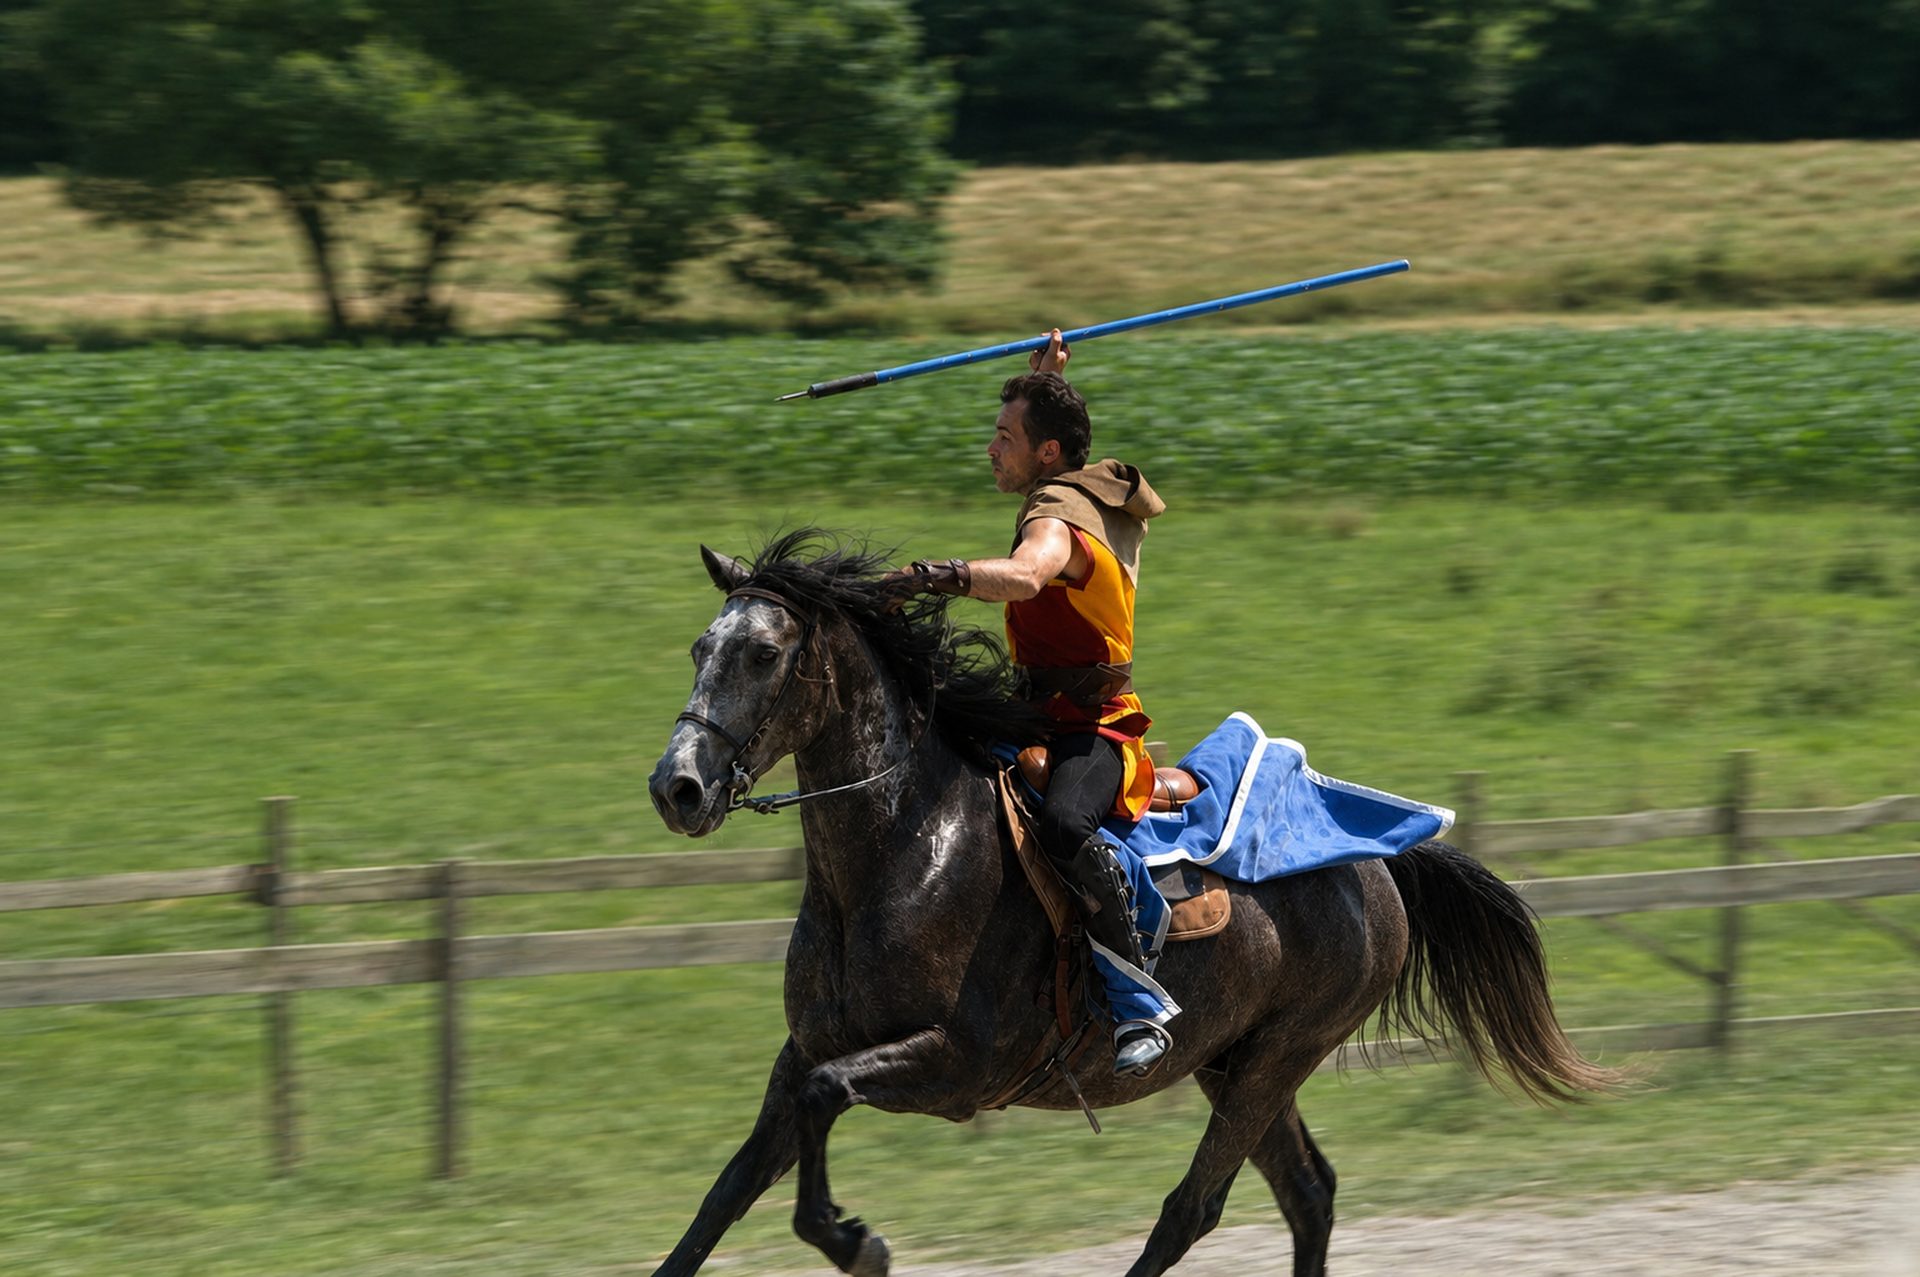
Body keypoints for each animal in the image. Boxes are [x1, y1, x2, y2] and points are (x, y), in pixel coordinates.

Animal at [646, 530, 1618, 1277]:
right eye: (698, 648)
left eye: (763, 653)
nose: (677, 786)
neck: (904, 855)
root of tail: (1378, 867)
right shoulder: (804, 1050)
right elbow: (724, 1194)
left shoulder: (956, 1064)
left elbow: (823, 1103)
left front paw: (856, 1239)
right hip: (1236, 1061)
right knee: (1309, 1194)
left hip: (1280, 1058)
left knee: (1195, 1206)